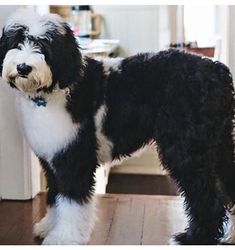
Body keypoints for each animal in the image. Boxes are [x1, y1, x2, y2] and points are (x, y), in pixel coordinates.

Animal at [0, 9, 235, 244]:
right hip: (219, 143)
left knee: (206, 197)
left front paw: (64, 237)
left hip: (186, 150)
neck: (55, 89)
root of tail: (217, 71)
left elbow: (71, 201)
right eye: (17, 41)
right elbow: (55, 196)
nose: (23, 67)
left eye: (44, 45)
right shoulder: (53, 159)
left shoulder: (74, 157)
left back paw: (194, 237)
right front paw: (49, 226)